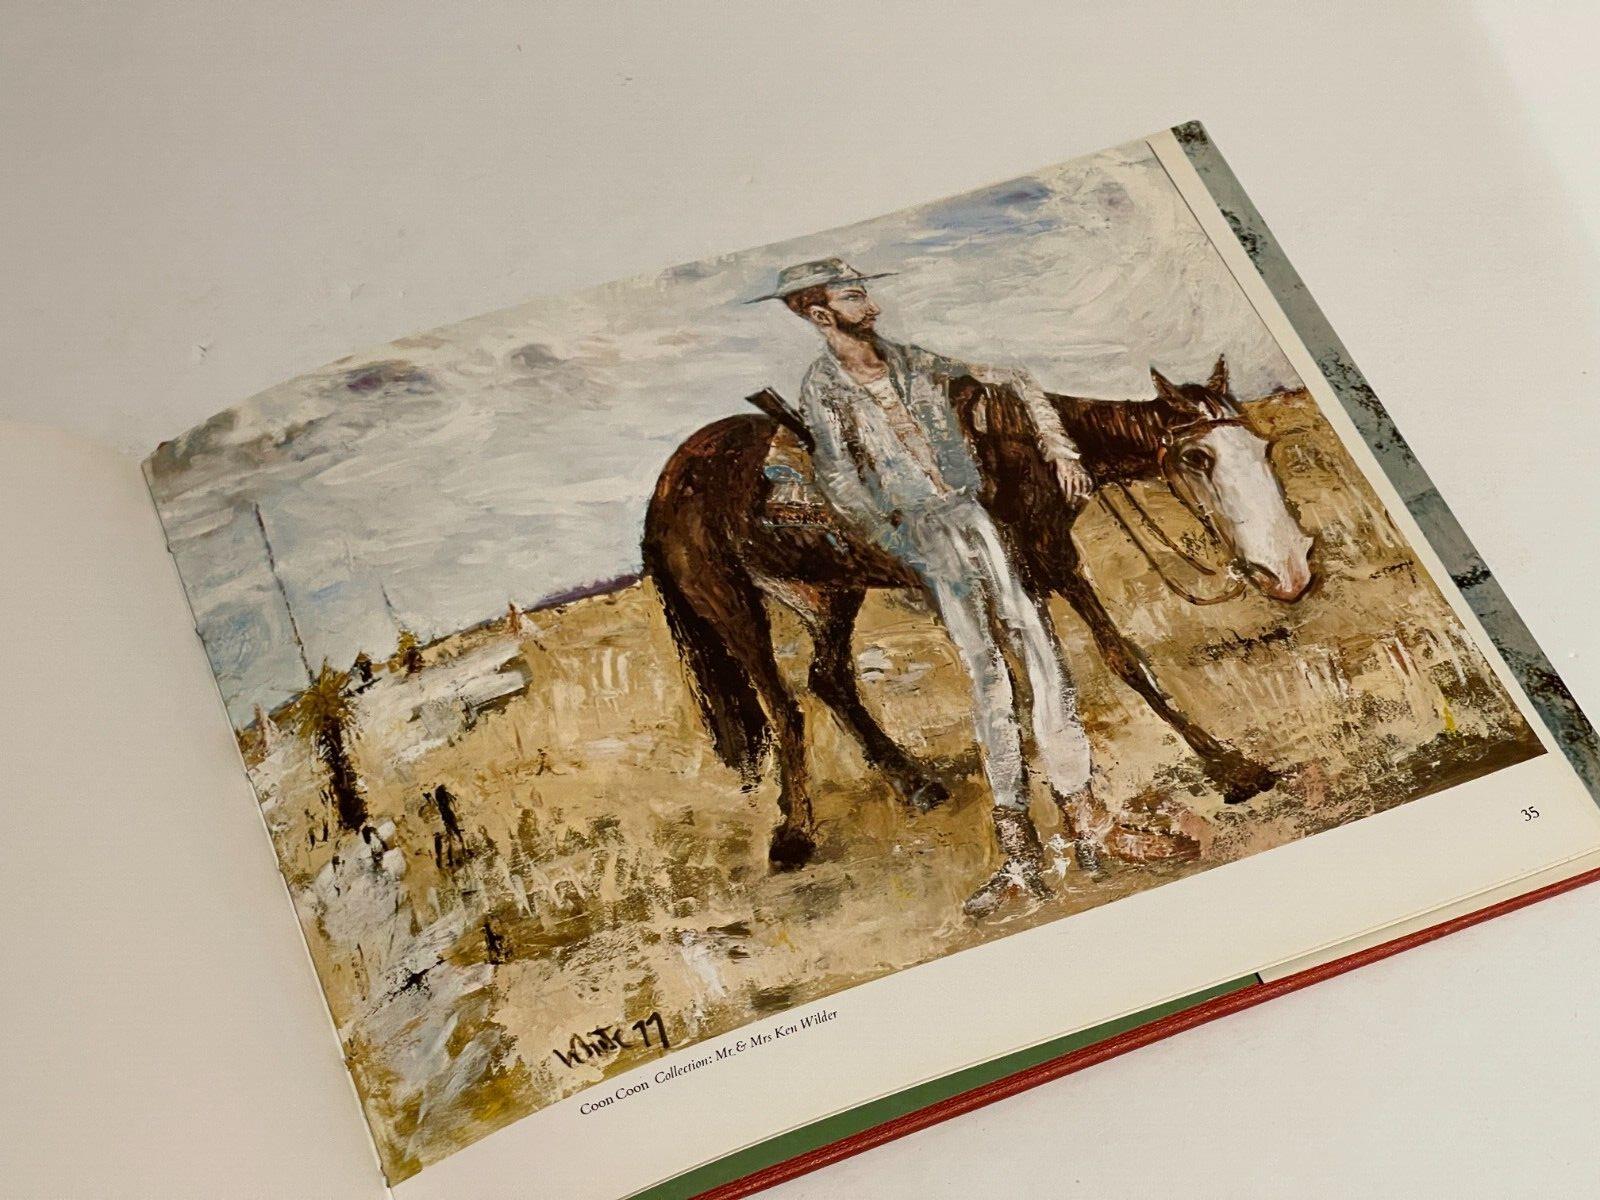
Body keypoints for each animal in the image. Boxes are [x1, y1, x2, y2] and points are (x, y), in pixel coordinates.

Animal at [641, 355, 1314, 872]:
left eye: (1265, 446)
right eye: (1199, 458)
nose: (1292, 570)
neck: (1017, 447)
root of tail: (670, 479)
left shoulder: (1055, 560)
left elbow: (1123, 659)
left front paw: (1234, 768)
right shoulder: (1023, 576)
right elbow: (1038, 683)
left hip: (831, 596)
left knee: (828, 679)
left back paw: (916, 784)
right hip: (731, 606)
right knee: (784, 708)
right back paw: (794, 836)